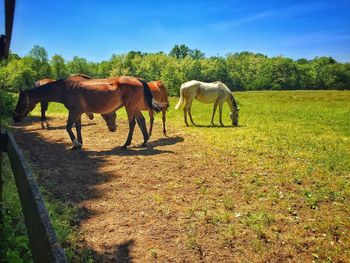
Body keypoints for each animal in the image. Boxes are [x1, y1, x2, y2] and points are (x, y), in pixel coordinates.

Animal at [13, 76, 161, 151]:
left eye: (21, 102)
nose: (15, 117)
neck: (66, 88)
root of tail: (138, 80)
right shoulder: (77, 112)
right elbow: (77, 127)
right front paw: (78, 144)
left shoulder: (74, 111)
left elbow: (68, 127)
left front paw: (77, 143)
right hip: (134, 107)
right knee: (141, 121)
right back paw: (144, 142)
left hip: (130, 107)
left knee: (133, 123)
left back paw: (125, 145)